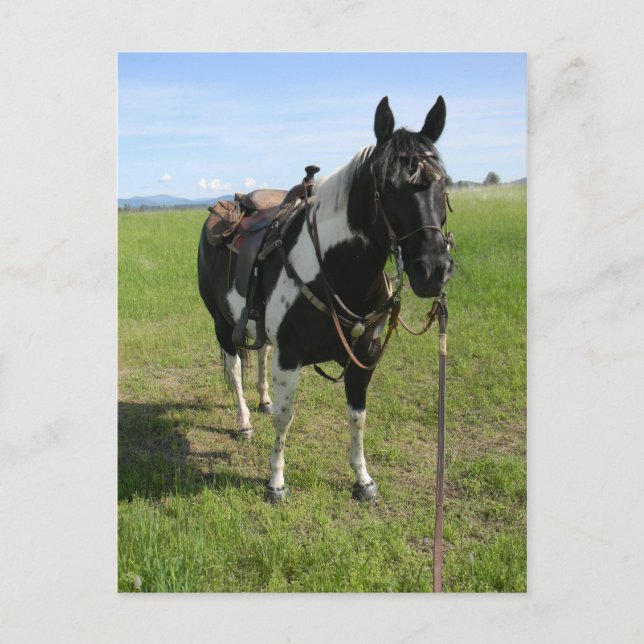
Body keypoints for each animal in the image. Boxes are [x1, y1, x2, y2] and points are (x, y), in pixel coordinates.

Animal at [197, 96, 454, 503]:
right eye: (387, 185)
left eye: (444, 183)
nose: (433, 269)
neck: (335, 271)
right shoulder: (290, 357)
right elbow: (286, 419)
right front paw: (276, 482)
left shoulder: (364, 357)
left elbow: (358, 416)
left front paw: (363, 479)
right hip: (222, 323)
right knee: (234, 369)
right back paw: (244, 422)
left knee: (260, 353)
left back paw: (262, 401)